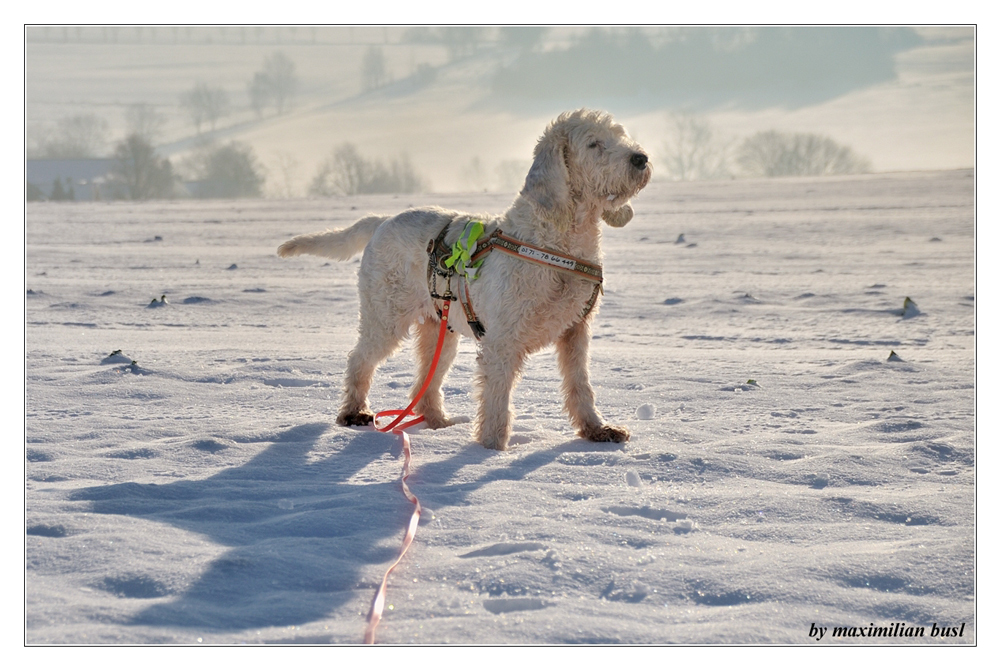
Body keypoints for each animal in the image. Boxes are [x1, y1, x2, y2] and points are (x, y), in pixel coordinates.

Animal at [282, 110, 652, 454]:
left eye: (619, 135)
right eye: (593, 143)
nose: (641, 158)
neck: (555, 241)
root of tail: (382, 221)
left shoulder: (576, 332)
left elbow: (581, 386)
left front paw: (597, 430)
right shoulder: (502, 342)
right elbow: (497, 400)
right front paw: (490, 450)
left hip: (439, 329)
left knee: (425, 381)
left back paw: (438, 423)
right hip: (385, 316)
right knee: (359, 359)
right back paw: (354, 412)